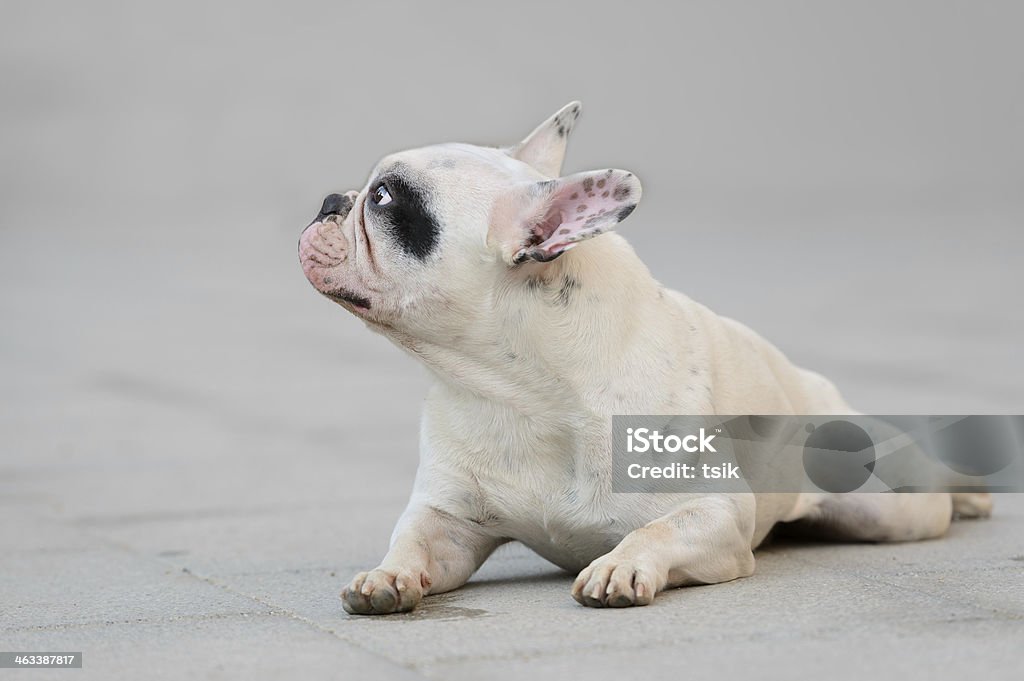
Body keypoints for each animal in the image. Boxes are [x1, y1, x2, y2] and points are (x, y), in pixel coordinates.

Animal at [296, 102, 991, 614]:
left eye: (386, 200)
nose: (331, 199)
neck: (518, 390)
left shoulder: (715, 513)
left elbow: (657, 528)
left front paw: (622, 564)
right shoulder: (449, 519)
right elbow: (412, 541)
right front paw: (385, 576)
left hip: (888, 507)